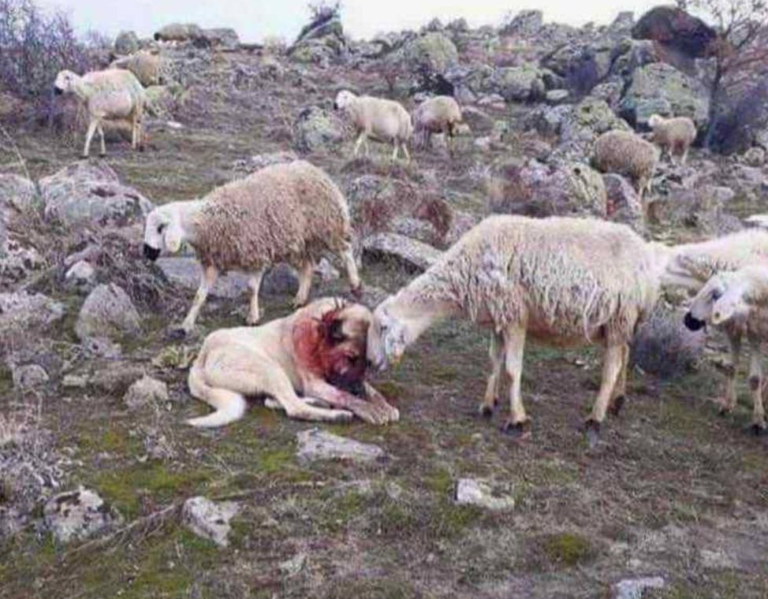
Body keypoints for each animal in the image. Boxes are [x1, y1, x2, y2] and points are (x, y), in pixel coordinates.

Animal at [188, 298, 400, 428]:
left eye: (368, 362)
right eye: (350, 358)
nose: (356, 389)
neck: (317, 338)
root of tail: (203, 353)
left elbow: (372, 391)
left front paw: (383, 405)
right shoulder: (315, 384)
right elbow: (344, 396)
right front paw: (369, 408)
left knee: (274, 401)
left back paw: (319, 403)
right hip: (269, 368)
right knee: (293, 407)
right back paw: (337, 415)